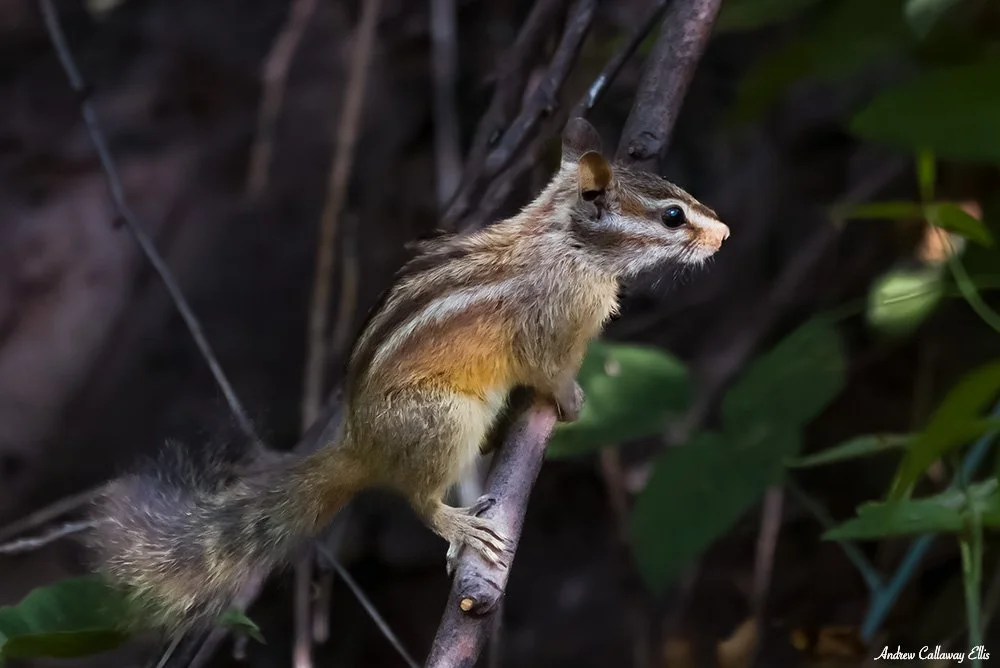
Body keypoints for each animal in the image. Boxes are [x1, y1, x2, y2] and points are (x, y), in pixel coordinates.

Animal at [85, 117, 730, 635]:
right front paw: (571, 400)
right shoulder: (548, 324)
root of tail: (360, 446)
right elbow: (549, 369)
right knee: (419, 500)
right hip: (445, 418)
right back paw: (459, 523)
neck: (562, 241)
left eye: (679, 193)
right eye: (673, 216)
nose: (723, 233)